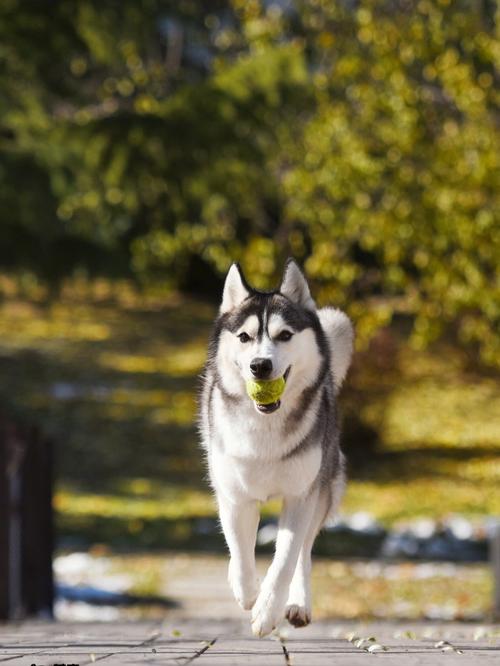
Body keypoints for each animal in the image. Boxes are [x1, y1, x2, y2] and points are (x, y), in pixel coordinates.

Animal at [197, 256, 354, 636]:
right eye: (244, 337)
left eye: (284, 335)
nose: (260, 365)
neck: (265, 427)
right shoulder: (235, 495)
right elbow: (240, 551)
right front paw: (247, 593)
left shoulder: (301, 496)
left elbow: (286, 558)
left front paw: (267, 611)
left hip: (325, 487)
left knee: (304, 552)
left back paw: (297, 604)